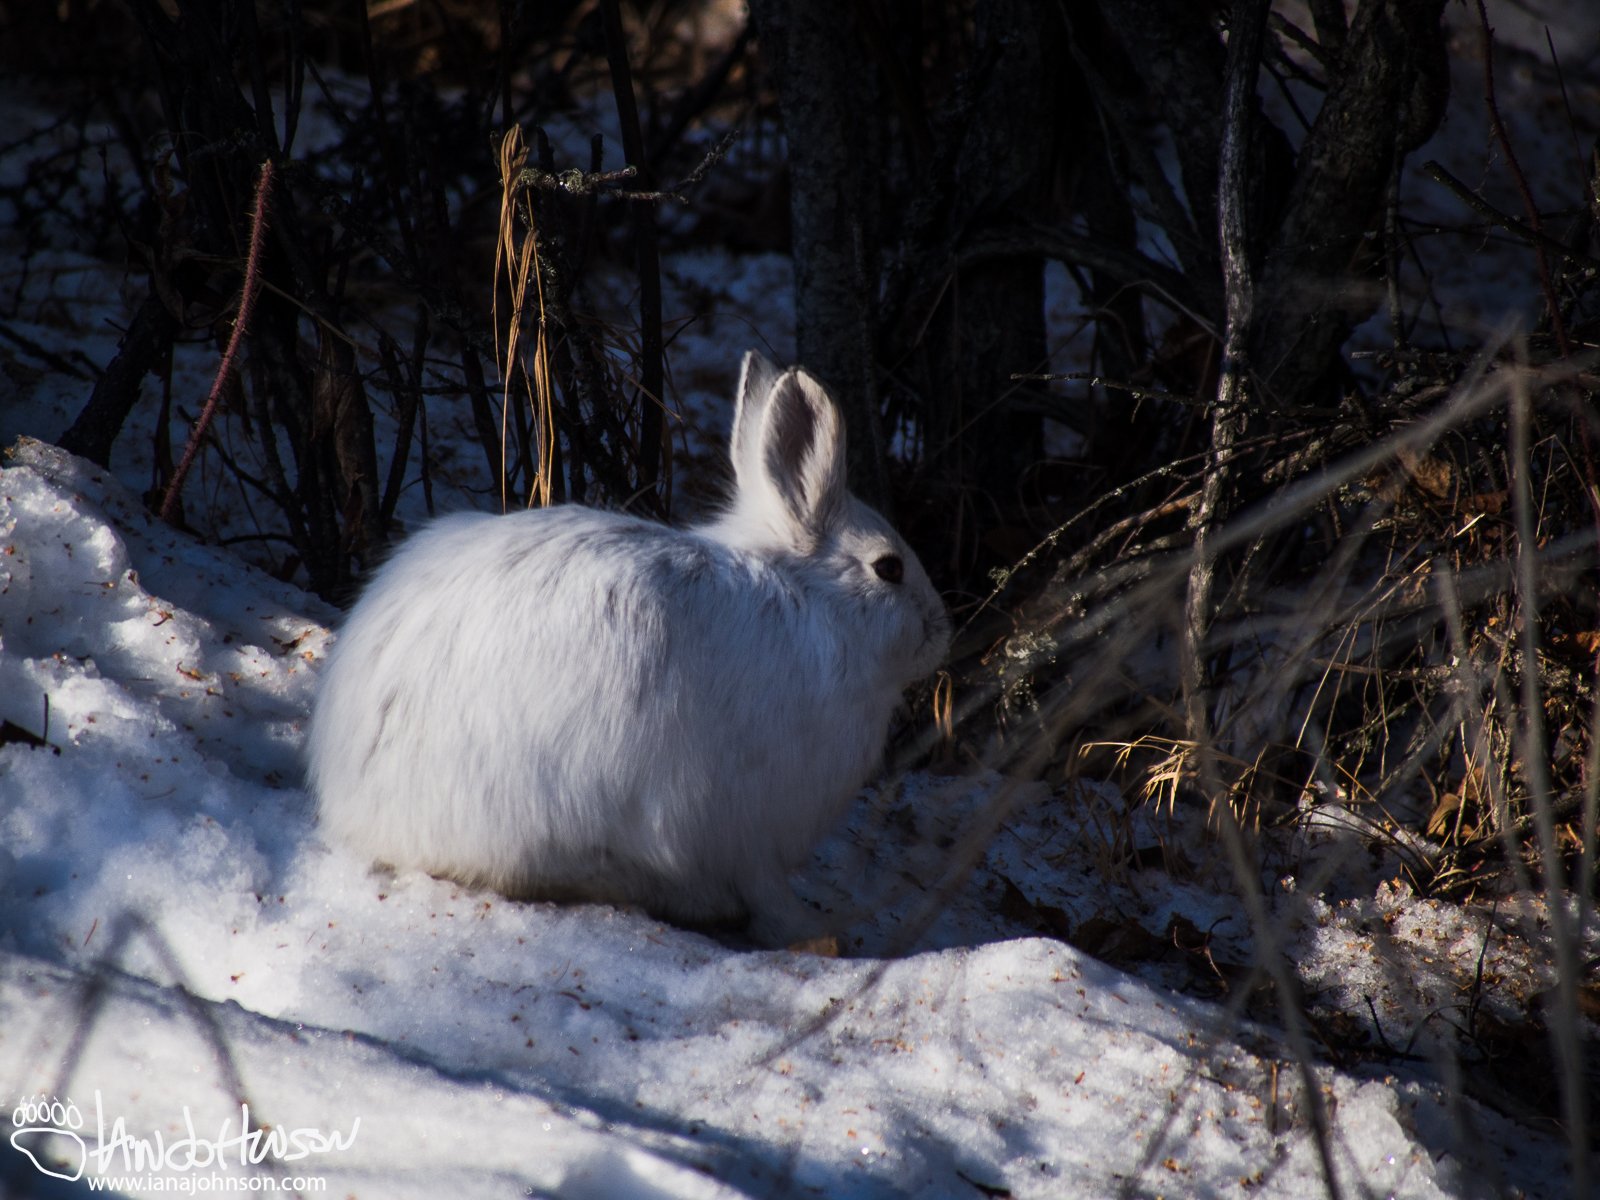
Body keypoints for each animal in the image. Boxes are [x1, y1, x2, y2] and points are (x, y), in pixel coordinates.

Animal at [306, 350, 950, 945]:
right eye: (889, 569)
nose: (942, 631)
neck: (809, 603)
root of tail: (355, 804)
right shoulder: (752, 826)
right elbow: (768, 891)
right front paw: (808, 930)